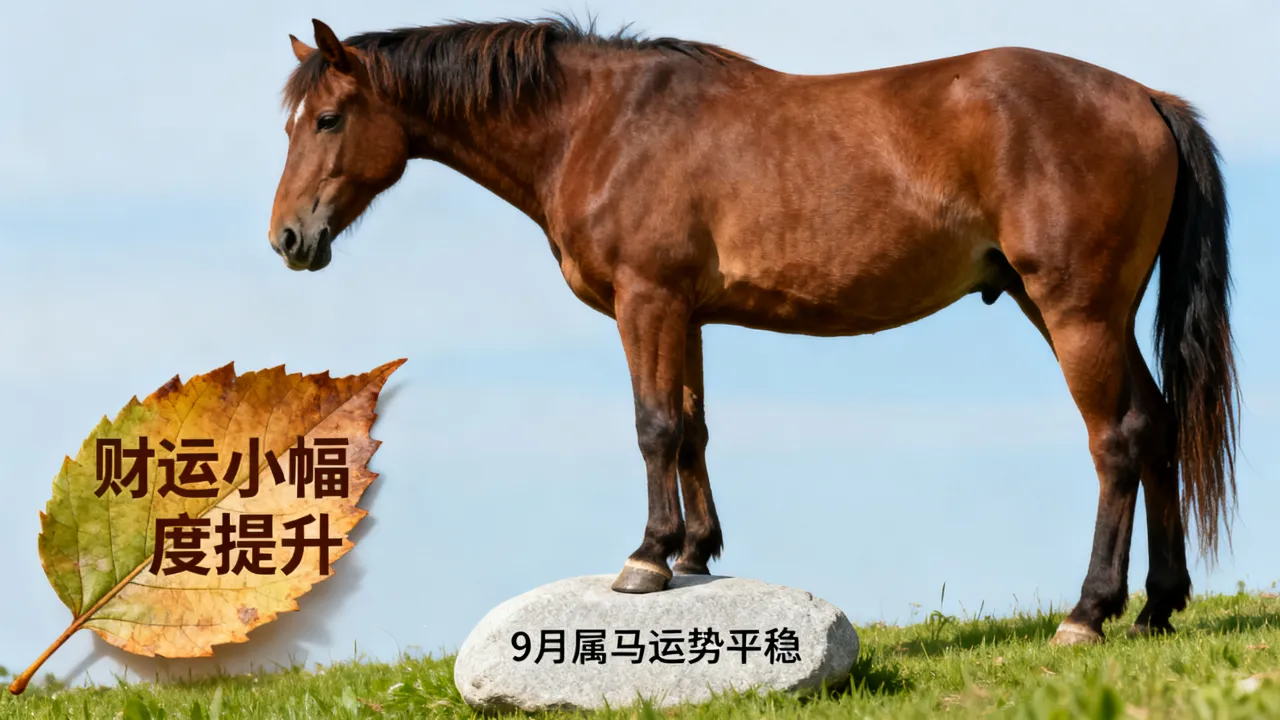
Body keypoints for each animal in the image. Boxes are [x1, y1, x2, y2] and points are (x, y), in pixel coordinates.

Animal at [268, 16, 1239, 646]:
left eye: (329, 119)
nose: (287, 240)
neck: (600, 124)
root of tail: (1146, 98)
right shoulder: (684, 312)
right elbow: (693, 428)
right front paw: (696, 554)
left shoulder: (647, 301)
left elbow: (654, 426)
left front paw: (647, 559)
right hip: (1080, 312)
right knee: (1157, 429)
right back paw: (1158, 607)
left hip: (1077, 311)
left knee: (1117, 440)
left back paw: (1089, 613)